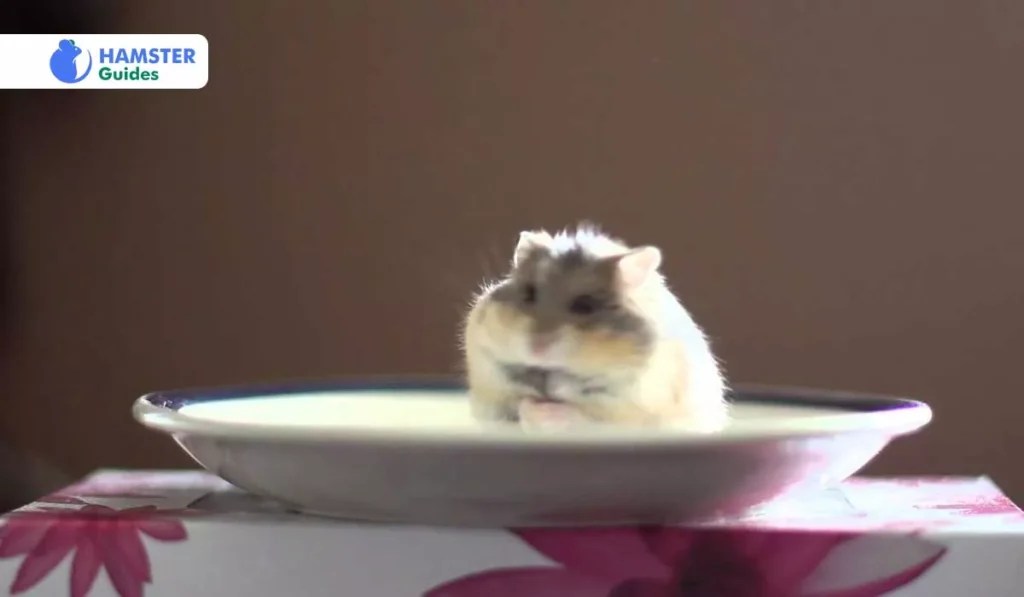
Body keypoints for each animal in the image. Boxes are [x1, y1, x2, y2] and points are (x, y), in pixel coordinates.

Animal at [461, 224, 729, 431]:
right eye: (529, 293)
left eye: (586, 305)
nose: (537, 349)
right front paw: (530, 407)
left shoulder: (630, 414)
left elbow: (581, 417)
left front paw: (542, 412)